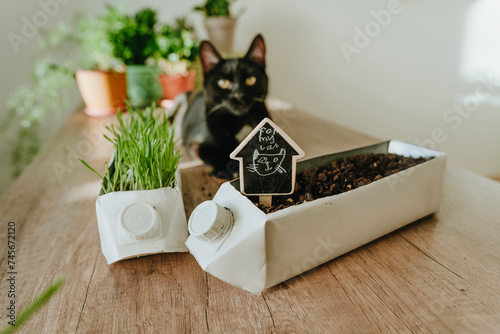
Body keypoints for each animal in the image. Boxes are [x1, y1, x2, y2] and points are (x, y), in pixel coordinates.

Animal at [181, 34, 270, 177]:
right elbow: (214, 155)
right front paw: (230, 170)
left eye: (250, 80)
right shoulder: (194, 143)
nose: (238, 95)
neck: (239, 121)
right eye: (223, 82)